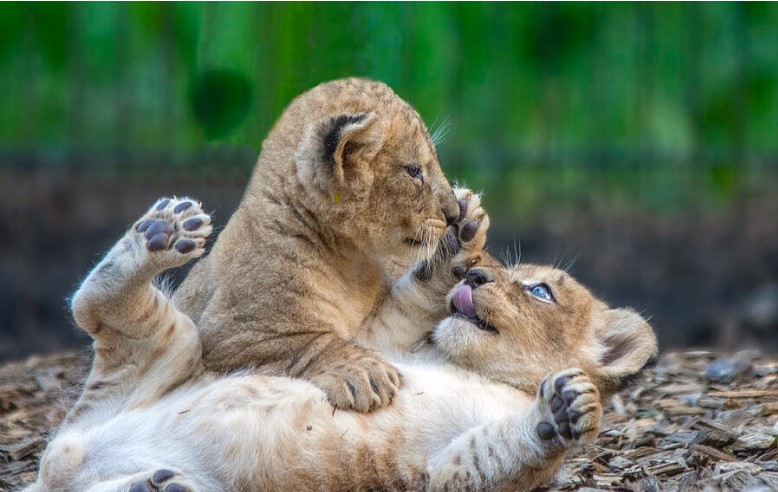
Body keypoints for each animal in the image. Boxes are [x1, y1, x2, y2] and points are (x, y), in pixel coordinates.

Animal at [26, 194, 657, 492]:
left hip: (165, 361)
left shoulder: (442, 472)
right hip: (172, 349)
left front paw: (568, 406)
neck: (475, 369)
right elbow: (403, 305)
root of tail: (62, 457)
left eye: (540, 291)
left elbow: (504, 453)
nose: (477, 278)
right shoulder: (379, 344)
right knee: (93, 302)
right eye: (496, 271)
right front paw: (458, 239)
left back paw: (156, 486)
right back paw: (165, 230)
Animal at [173, 78, 461, 412]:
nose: (455, 213)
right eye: (413, 170)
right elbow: (307, 343)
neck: (351, 261)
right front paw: (365, 372)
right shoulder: (226, 337)